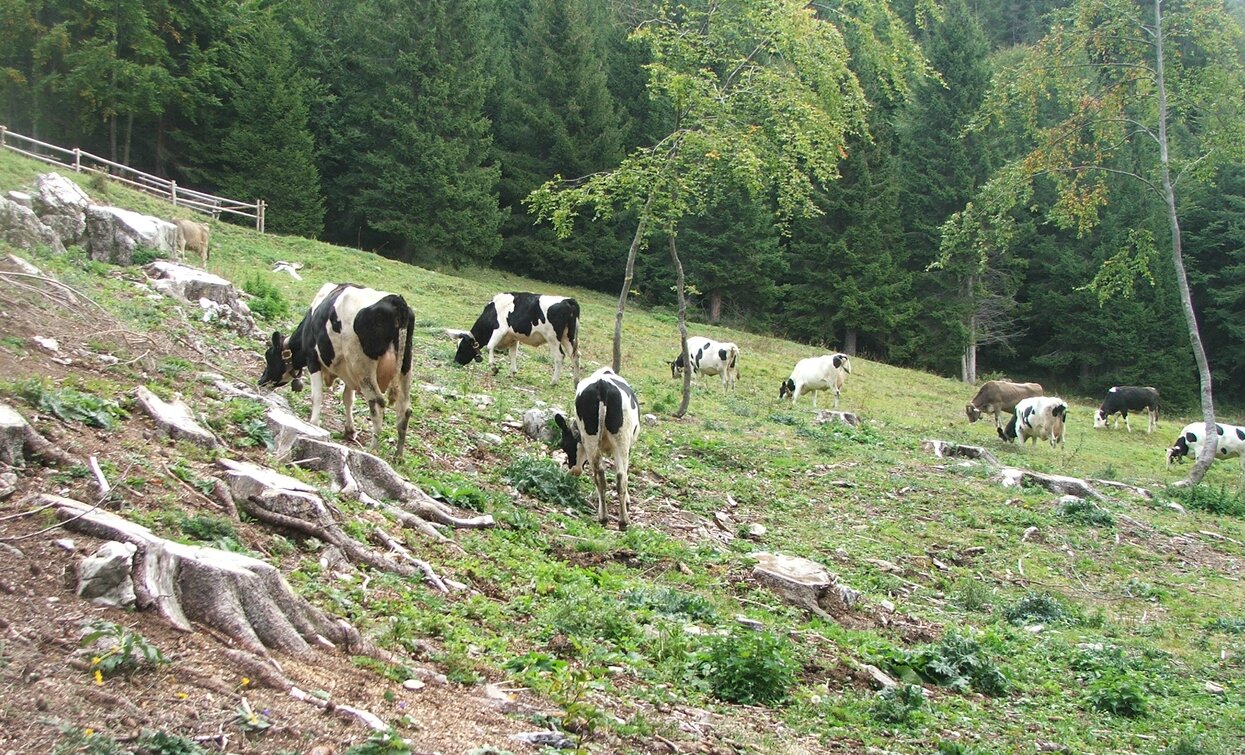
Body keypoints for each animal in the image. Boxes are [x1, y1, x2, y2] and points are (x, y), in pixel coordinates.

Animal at [560, 368, 647, 533]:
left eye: (564, 446)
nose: (572, 468)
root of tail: (602, 385)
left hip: (591, 438)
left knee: (599, 474)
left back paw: (605, 517)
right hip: (621, 440)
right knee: (620, 477)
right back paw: (621, 521)